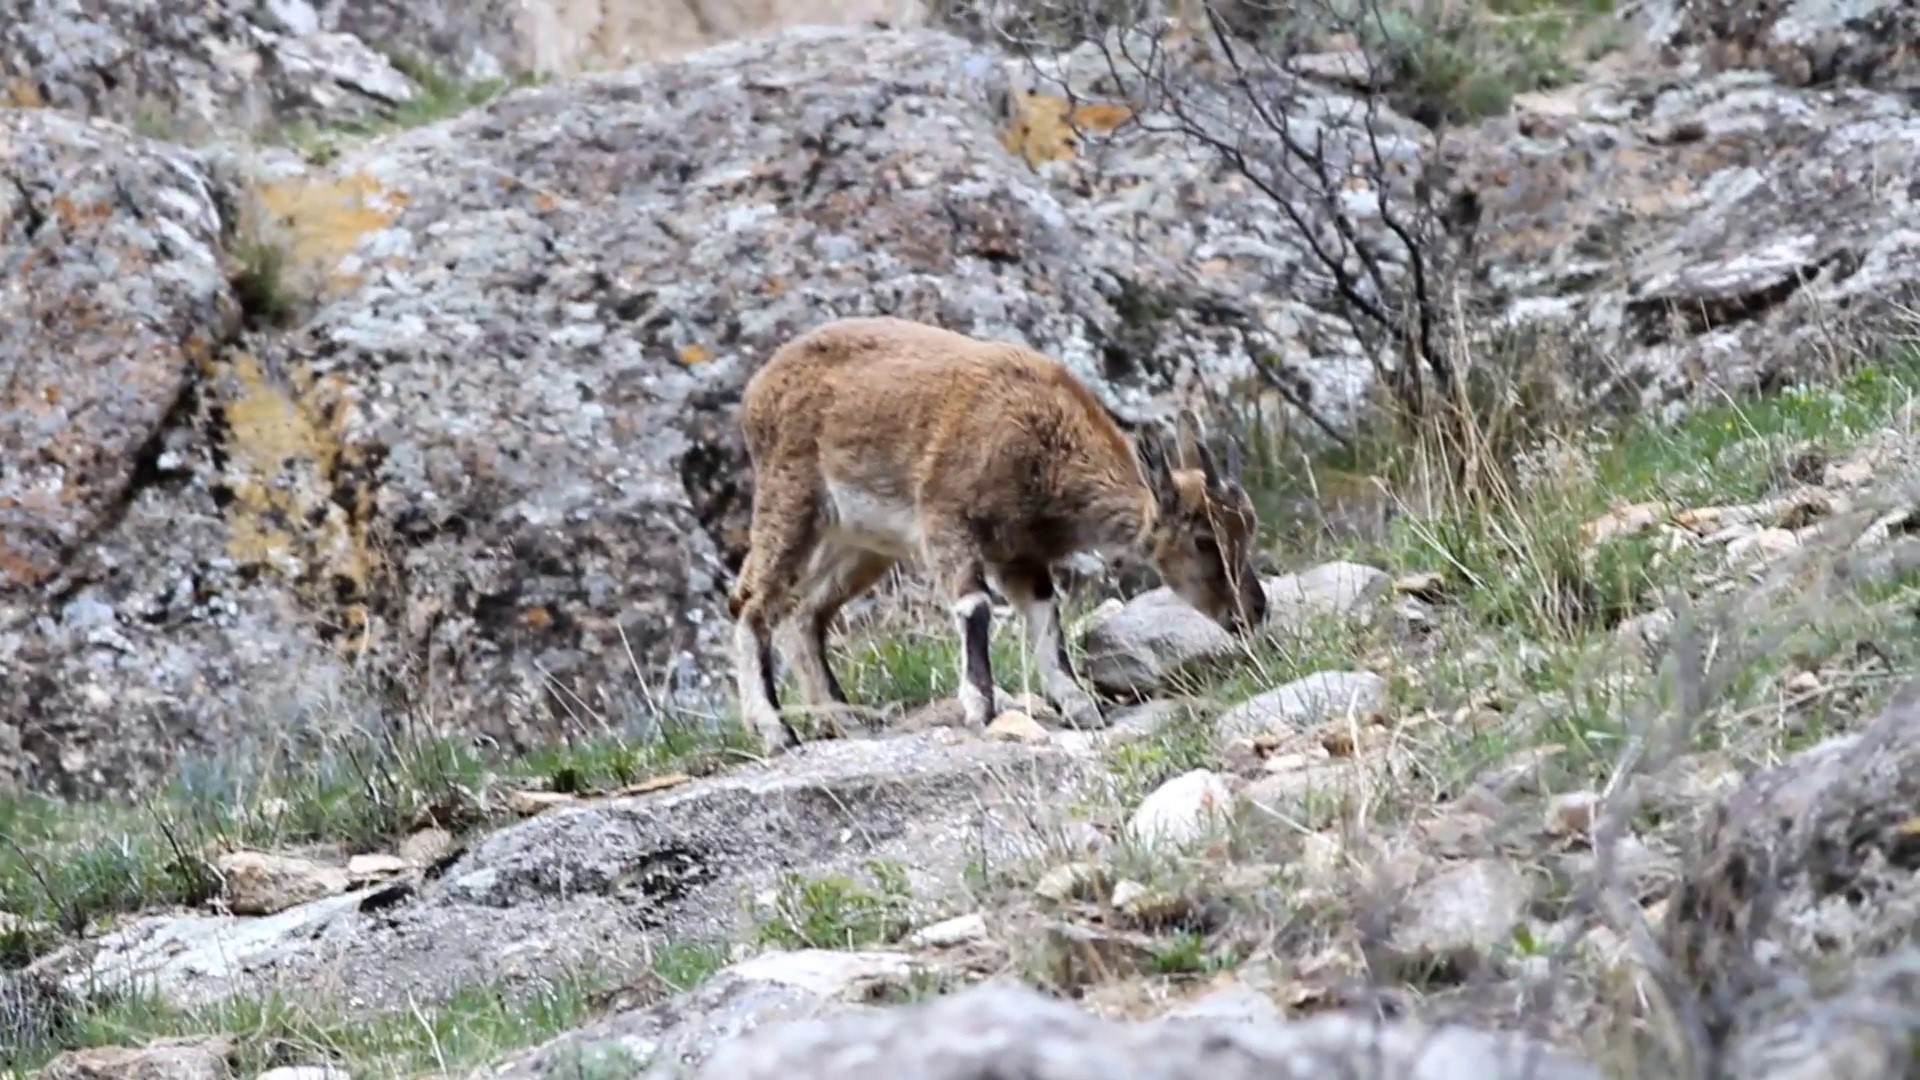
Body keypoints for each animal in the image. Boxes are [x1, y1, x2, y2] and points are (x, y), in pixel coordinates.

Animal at [725, 313, 1267, 749]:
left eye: (1248, 528)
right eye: (1204, 540)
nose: (1253, 611)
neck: (1044, 447)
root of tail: (758, 388)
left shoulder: (1019, 554)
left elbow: (1047, 617)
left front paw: (1079, 703)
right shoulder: (947, 521)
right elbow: (976, 607)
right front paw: (981, 708)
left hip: (861, 543)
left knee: (805, 612)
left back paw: (842, 716)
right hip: (791, 499)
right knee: (752, 603)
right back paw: (774, 728)